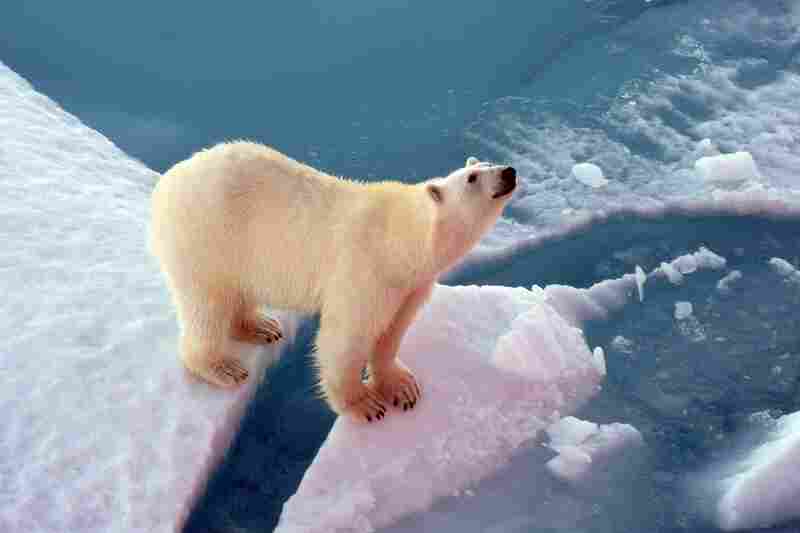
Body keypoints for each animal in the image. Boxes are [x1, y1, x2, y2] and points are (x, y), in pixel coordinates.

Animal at [149, 141, 516, 422]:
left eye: (489, 162)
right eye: (472, 177)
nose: (509, 171)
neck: (403, 239)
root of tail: (168, 182)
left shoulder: (411, 285)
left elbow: (394, 330)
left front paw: (402, 387)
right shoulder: (366, 270)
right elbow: (346, 337)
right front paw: (365, 404)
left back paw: (261, 326)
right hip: (207, 236)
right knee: (207, 304)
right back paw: (221, 367)